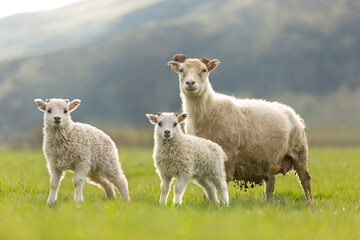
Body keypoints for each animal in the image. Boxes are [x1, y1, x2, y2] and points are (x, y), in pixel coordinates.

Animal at [167, 54, 314, 202]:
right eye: (181, 70)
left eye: (204, 70)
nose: (190, 83)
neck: (208, 109)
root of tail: (296, 116)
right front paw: (207, 202)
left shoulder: (228, 154)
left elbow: (221, 182)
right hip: (269, 159)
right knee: (271, 181)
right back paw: (268, 202)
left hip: (299, 151)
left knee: (305, 179)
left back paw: (310, 203)